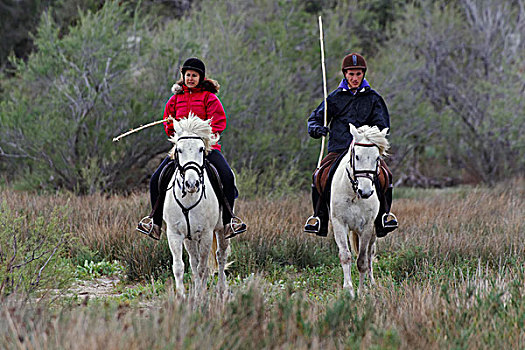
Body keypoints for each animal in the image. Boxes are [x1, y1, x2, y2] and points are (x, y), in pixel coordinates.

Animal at [164, 113, 229, 300]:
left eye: (201, 149)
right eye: (179, 150)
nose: (191, 184)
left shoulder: (206, 234)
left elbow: (202, 268)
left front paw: (200, 297)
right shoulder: (175, 234)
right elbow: (180, 267)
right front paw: (182, 297)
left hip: (222, 230)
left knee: (220, 257)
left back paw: (221, 291)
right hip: (189, 238)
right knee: (194, 261)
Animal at [332, 121, 388, 296]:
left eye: (377, 158)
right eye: (357, 156)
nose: (366, 192)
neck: (353, 194)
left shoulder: (367, 227)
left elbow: (362, 260)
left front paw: (361, 292)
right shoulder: (339, 223)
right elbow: (345, 256)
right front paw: (348, 291)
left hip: (373, 233)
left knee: (370, 254)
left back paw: (372, 283)